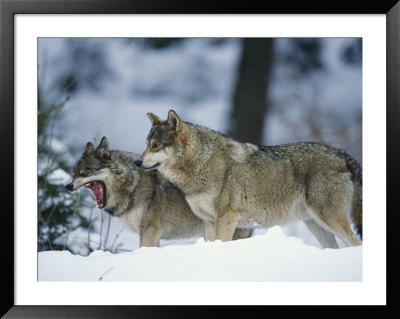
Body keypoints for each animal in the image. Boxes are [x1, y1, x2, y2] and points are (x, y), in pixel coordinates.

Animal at [67, 137, 252, 248]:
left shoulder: (150, 230)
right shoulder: (153, 235)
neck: (133, 185)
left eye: (84, 173)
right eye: (74, 173)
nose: (68, 186)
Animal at [134, 110, 362, 250]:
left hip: (328, 219)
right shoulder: (209, 221)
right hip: (316, 225)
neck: (202, 164)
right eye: (146, 144)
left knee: (355, 242)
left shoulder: (227, 218)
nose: (137, 161)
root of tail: (343, 154)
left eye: (155, 146)